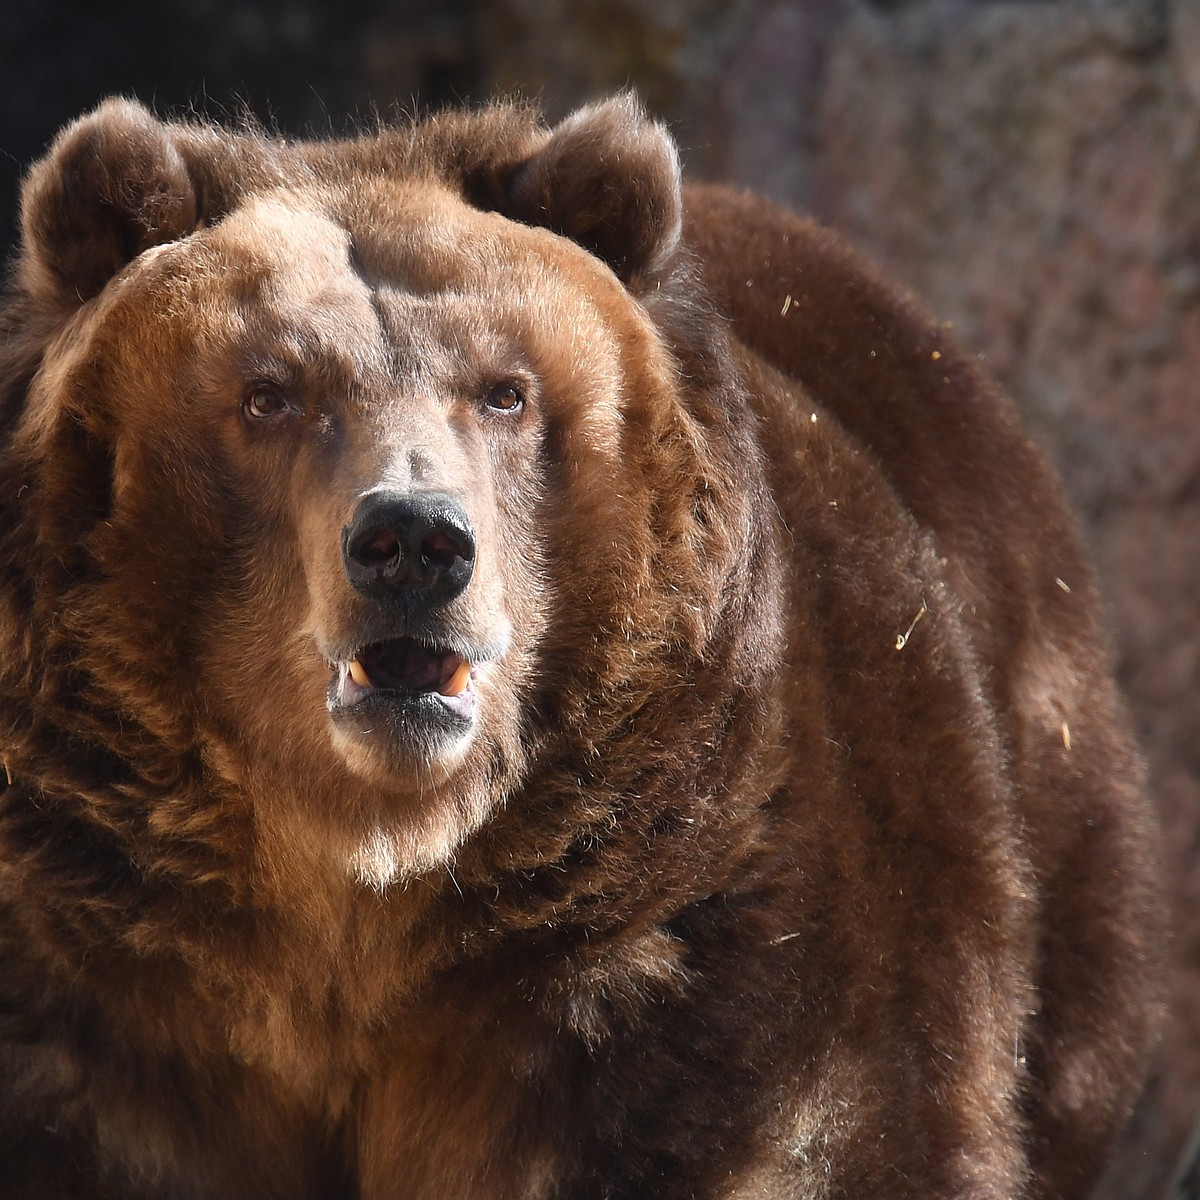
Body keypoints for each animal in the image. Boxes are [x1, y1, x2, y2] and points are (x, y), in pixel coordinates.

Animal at [0, 96, 1166, 1200]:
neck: (360, 882)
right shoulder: (95, 984)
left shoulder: (692, 932)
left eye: (504, 390)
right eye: (269, 392)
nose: (414, 542)